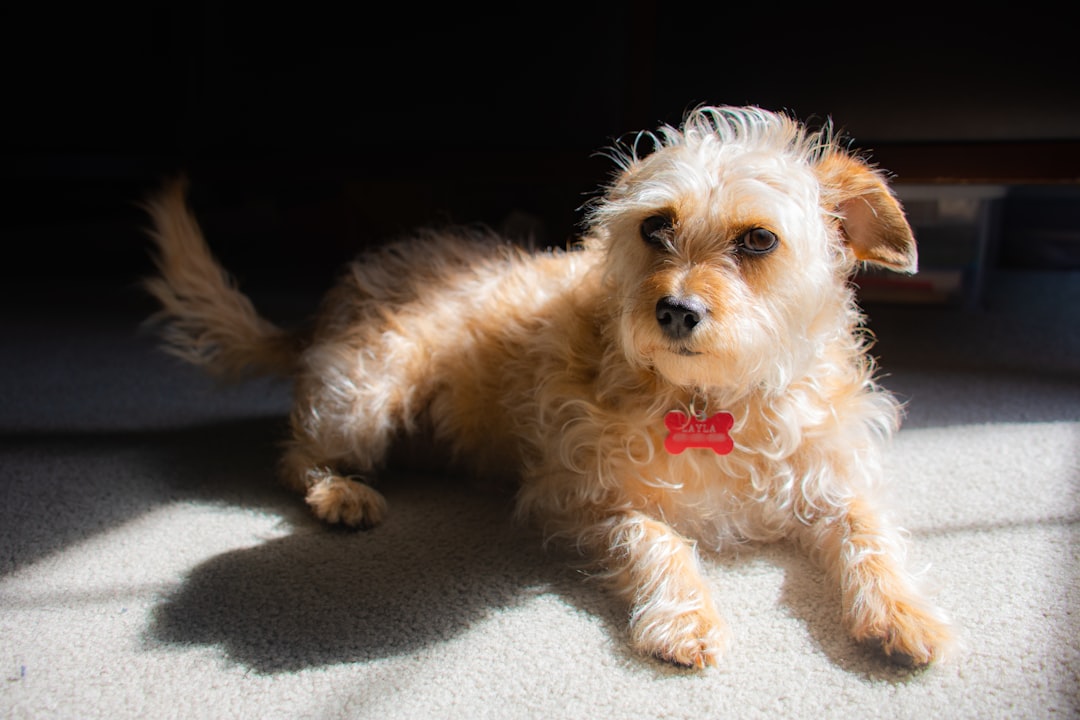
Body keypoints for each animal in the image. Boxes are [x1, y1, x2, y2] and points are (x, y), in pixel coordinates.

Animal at [141, 104, 954, 669]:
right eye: (655, 226)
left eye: (758, 239)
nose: (674, 310)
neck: (715, 396)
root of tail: (325, 308)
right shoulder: (580, 497)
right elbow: (657, 538)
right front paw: (686, 618)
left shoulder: (834, 481)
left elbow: (869, 534)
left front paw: (905, 612)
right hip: (366, 394)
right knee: (294, 457)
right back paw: (341, 492)